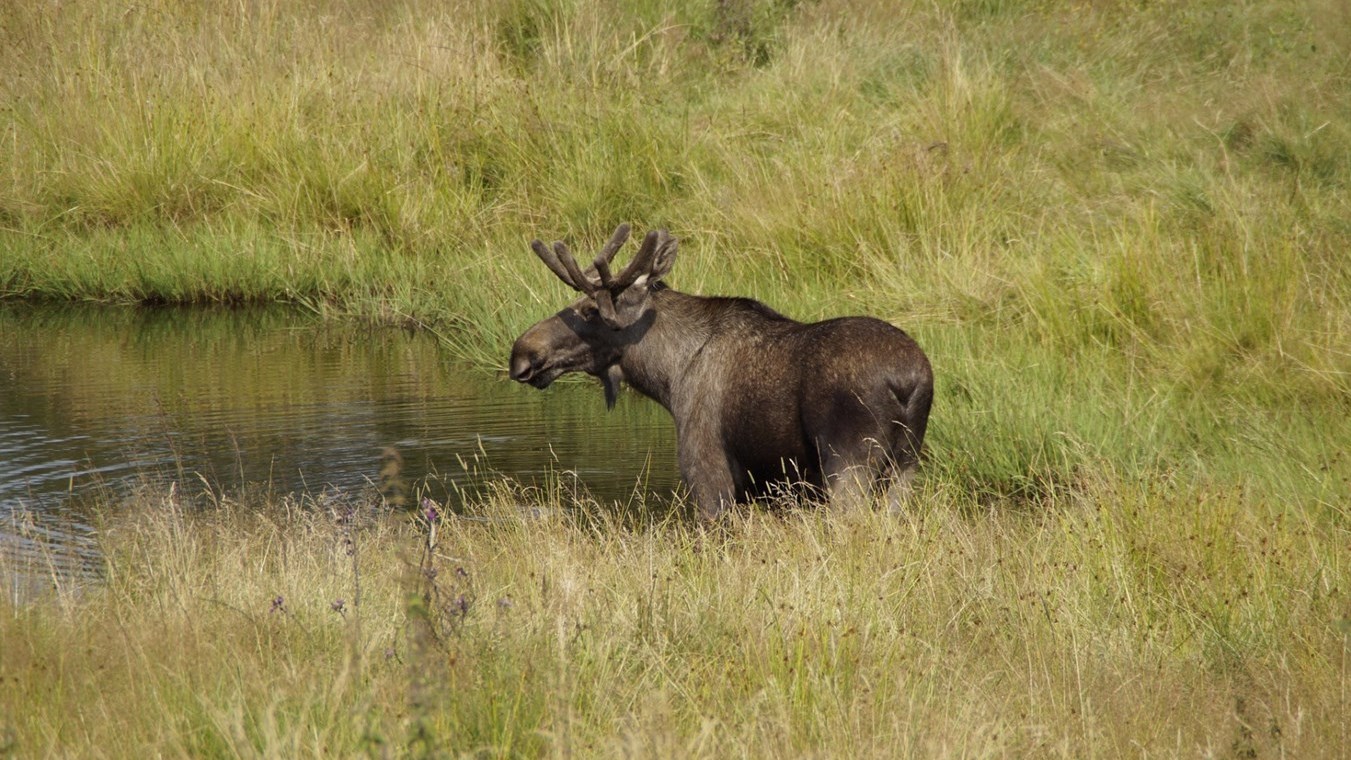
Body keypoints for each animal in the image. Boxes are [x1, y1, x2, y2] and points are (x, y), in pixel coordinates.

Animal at [507, 222, 929, 521]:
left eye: (590, 310)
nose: (522, 354)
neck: (667, 375)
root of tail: (908, 382)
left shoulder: (708, 478)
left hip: (848, 466)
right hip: (905, 466)